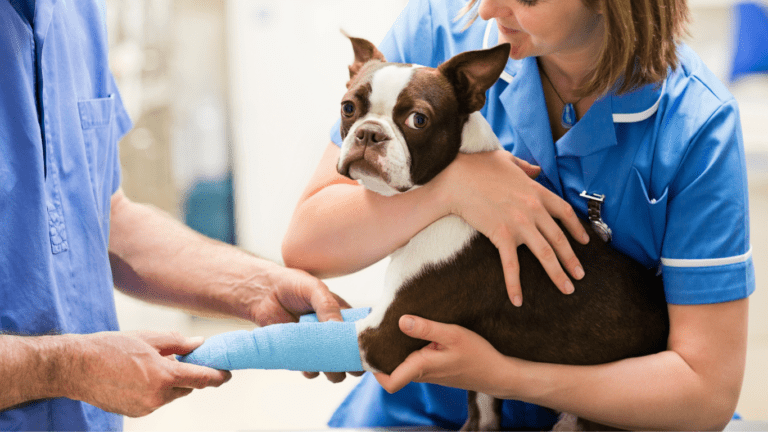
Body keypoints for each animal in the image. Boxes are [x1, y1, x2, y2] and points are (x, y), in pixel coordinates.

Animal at [334, 35, 664, 430]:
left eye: (418, 120)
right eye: (348, 107)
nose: (369, 133)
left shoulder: (383, 337)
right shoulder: (482, 397)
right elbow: (482, 415)